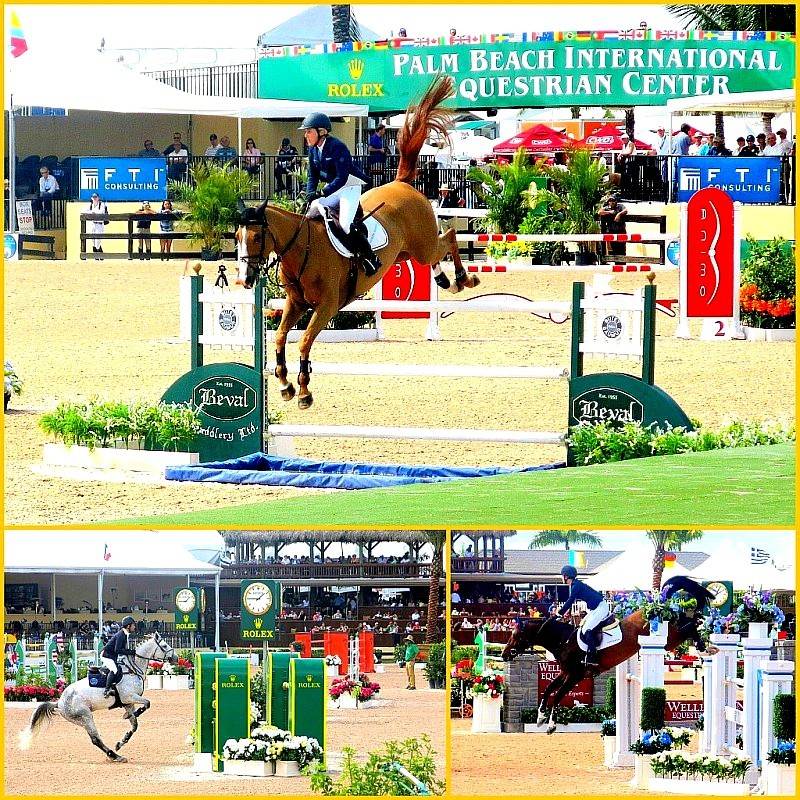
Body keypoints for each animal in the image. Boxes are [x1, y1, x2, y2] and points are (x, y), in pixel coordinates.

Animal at [20, 632, 175, 764]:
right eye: (165, 646)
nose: (175, 658)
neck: (132, 669)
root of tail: (59, 702)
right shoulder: (129, 697)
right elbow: (147, 704)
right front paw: (130, 716)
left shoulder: (128, 702)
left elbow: (135, 725)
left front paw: (122, 741)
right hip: (86, 716)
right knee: (95, 739)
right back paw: (115, 756)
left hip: (80, 720)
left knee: (95, 738)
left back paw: (115, 753)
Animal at [234, 75, 478, 410]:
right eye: (237, 237)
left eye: (257, 236)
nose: (245, 279)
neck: (301, 249)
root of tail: (402, 182)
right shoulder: (296, 303)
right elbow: (282, 336)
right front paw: (284, 384)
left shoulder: (326, 306)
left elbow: (305, 341)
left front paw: (304, 390)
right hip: (403, 254)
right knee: (435, 254)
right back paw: (445, 280)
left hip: (422, 244)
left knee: (449, 237)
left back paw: (463, 279)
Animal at [500, 580, 712, 736]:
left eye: (515, 636)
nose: (504, 654)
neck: (564, 640)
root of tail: (657, 606)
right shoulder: (566, 673)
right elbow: (549, 690)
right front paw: (540, 718)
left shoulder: (575, 676)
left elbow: (558, 696)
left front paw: (551, 725)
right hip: (670, 640)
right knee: (686, 620)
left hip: (671, 636)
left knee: (688, 624)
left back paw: (704, 641)